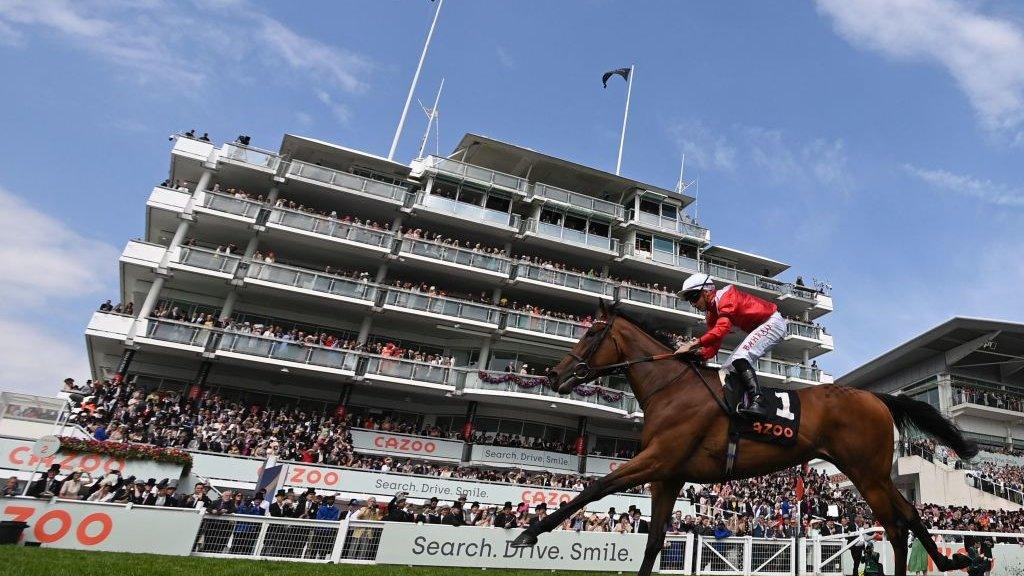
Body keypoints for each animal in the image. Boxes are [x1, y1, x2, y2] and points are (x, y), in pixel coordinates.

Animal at [512, 297, 974, 573]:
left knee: (897, 523)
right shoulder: (668, 477)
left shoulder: (658, 459)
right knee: (908, 516)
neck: (672, 388)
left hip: (868, 473)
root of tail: (876, 397)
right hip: (870, 473)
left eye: (592, 333)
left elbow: (596, 487)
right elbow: (655, 539)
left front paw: (529, 532)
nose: (554, 375)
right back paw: (948, 561)